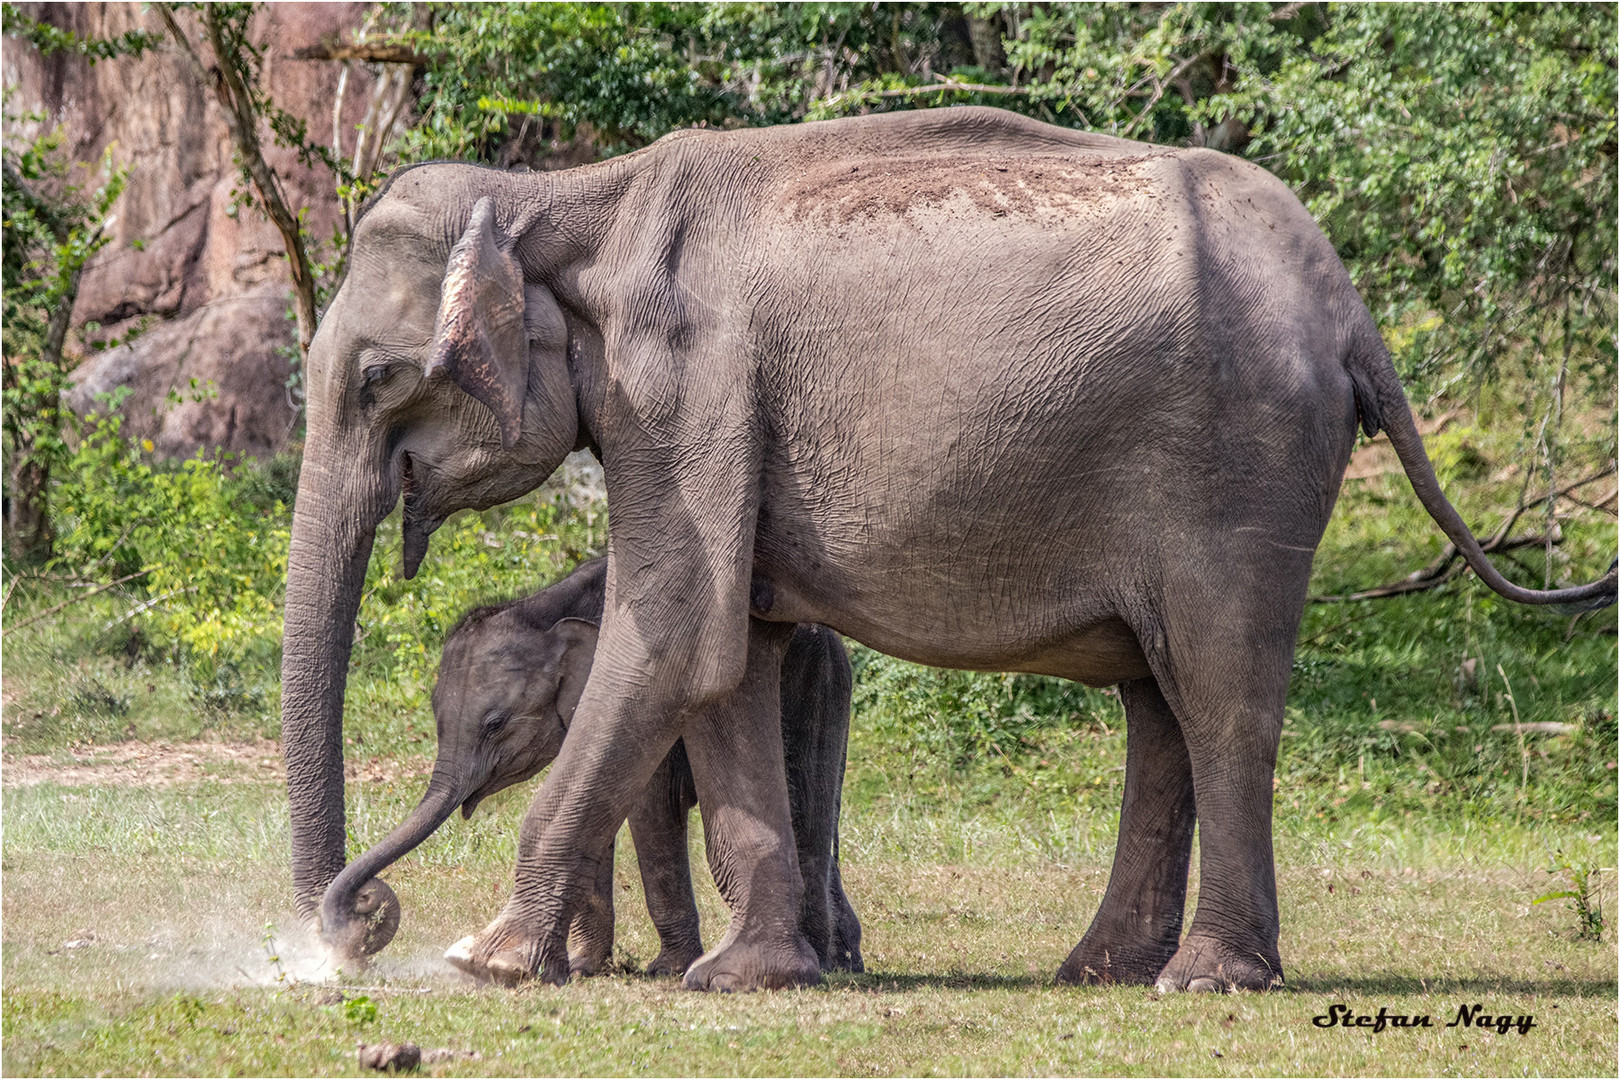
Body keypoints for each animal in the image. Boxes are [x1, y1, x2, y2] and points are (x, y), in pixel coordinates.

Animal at [320, 557, 868, 977]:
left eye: (495, 725)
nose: (363, 905)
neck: (545, 610)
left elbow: (649, 805)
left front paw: (664, 970)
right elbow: (593, 811)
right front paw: (585, 966)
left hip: (816, 686)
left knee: (808, 817)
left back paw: (820, 963)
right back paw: (844, 960)